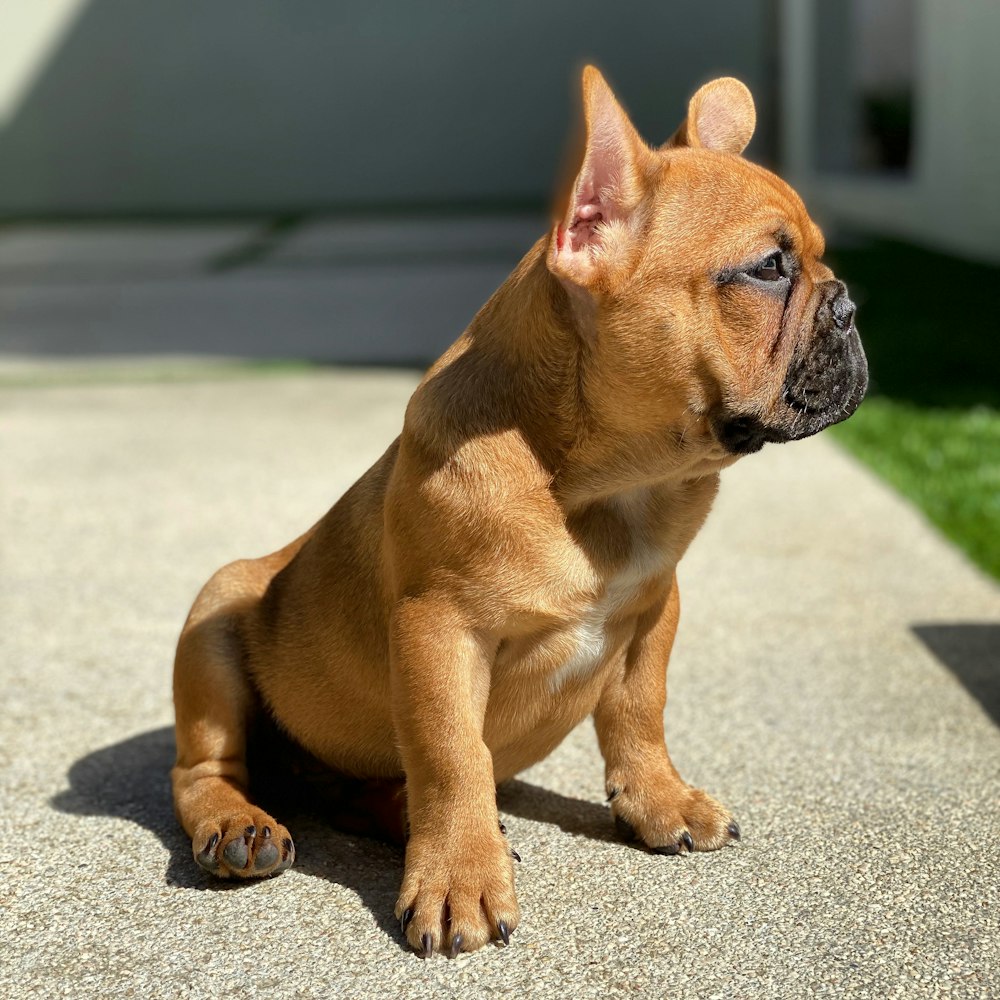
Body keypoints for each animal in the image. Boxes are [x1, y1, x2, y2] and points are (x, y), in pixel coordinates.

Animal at [172, 66, 868, 956]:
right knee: (204, 768)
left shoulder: (657, 604)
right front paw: (459, 880)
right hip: (215, 616)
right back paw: (241, 826)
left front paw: (659, 801)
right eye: (770, 268)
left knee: (364, 791)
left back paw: (404, 817)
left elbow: (639, 710)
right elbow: (451, 755)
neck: (606, 488)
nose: (848, 305)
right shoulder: (438, 629)